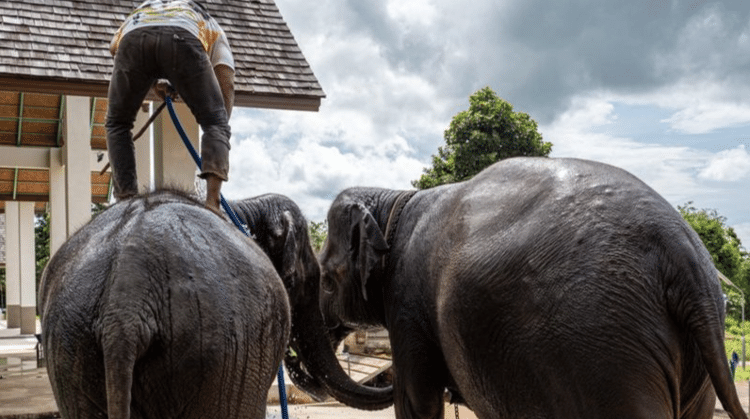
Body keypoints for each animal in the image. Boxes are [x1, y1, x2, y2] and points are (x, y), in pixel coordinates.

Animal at [316, 158, 748, 419]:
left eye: (325, 279)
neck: (394, 201)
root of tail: (681, 251)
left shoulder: (405, 301)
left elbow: (416, 401)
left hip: (604, 350)